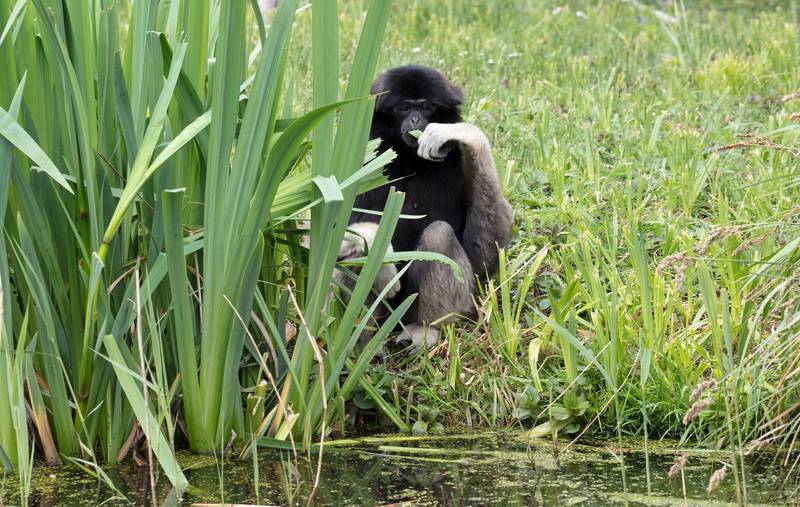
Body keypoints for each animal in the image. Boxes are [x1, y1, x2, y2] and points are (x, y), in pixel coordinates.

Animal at [338, 65, 513, 350]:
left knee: (439, 234)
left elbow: (484, 259)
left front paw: (466, 133)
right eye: (404, 108)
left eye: (426, 107)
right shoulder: (364, 155)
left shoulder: (455, 157)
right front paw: (378, 251)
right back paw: (360, 341)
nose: (415, 121)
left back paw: (424, 328)